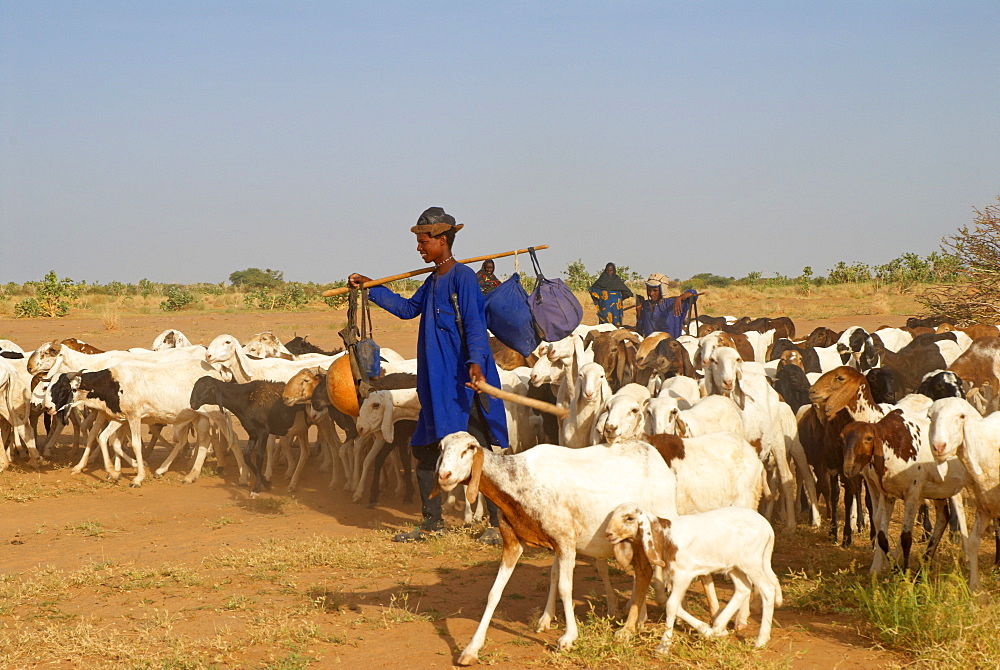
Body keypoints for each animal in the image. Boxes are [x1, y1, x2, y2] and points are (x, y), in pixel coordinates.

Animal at [600, 506, 780, 652]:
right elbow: (674, 604)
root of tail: (768, 527)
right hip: (735, 565)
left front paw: (664, 644)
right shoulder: (675, 576)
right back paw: (718, 626)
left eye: (629, 518)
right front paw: (707, 630)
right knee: (743, 588)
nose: (608, 534)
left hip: (752, 562)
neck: (667, 537)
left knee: (768, 590)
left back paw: (761, 640)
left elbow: (671, 605)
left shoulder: (683, 575)